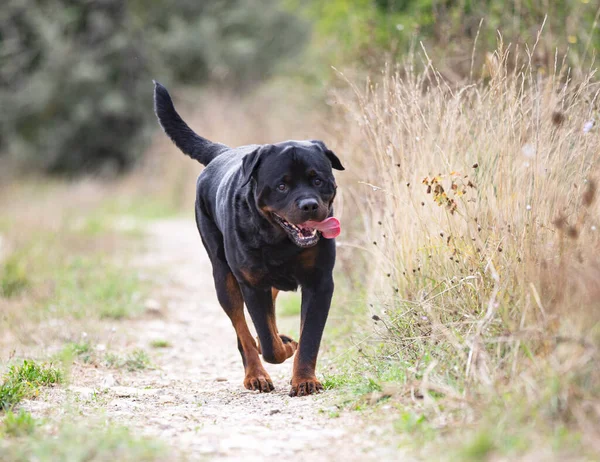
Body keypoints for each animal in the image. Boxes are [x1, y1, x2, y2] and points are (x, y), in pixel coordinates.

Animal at [152, 81, 344, 396]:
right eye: (281, 186)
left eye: (318, 180)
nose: (309, 205)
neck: (280, 241)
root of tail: (223, 152)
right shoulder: (252, 285)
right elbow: (267, 343)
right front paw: (281, 349)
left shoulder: (319, 282)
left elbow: (310, 337)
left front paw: (304, 379)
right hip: (224, 278)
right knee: (243, 331)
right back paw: (256, 374)